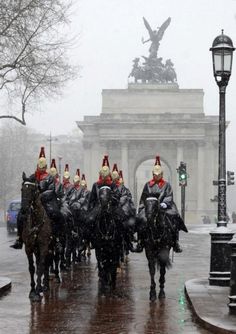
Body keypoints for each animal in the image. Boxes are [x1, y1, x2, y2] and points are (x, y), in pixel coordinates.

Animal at [20, 174, 52, 302]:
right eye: (22, 189)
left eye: (32, 189)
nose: (24, 209)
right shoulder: (29, 247)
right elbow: (32, 268)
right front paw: (33, 291)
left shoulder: (44, 246)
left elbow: (40, 268)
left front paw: (38, 291)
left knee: (46, 264)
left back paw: (45, 285)